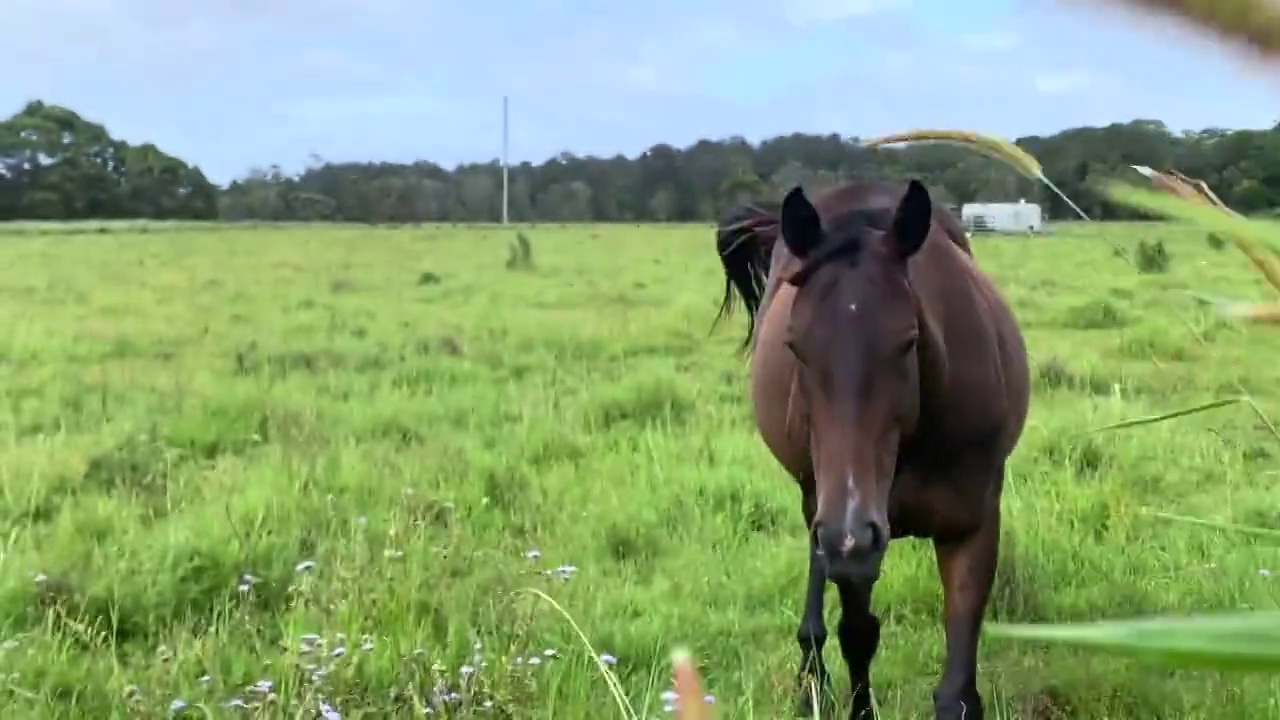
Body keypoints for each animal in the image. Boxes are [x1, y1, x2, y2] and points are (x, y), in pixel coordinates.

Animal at [711, 178, 1029, 717]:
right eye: (795, 346)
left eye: (908, 340)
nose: (850, 534)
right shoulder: (845, 534)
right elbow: (858, 633)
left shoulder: (972, 524)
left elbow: (958, 687)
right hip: (814, 494)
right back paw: (810, 673)